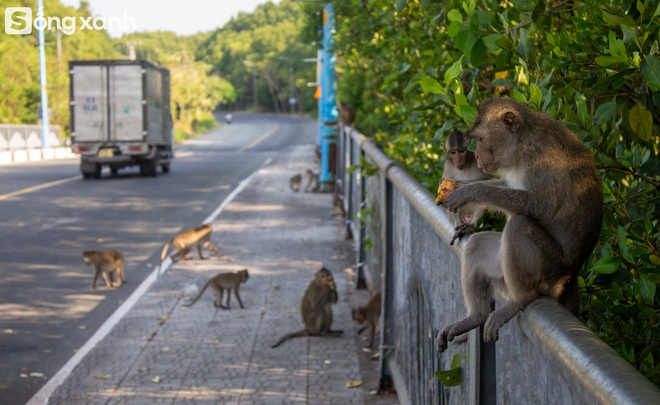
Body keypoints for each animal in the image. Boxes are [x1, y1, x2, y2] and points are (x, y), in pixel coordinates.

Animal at [436, 96, 600, 352]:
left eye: (480, 140)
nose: (478, 156)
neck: (521, 147)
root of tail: (569, 278)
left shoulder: (540, 160)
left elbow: (543, 206)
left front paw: (471, 191)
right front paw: (462, 187)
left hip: (550, 272)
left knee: (519, 226)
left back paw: (519, 300)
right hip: (501, 267)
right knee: (477, 244)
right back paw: (474, 317)